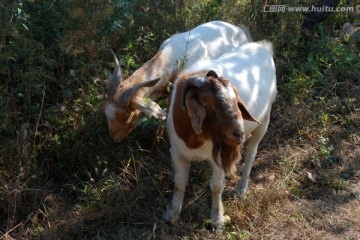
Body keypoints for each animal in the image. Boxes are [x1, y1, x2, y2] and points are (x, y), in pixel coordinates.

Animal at [165, 41, 278, 229]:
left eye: (236, 100)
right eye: (207, 103)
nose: (238, 133)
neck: (195, 139)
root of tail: (263, 47)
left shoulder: (218, 157)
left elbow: (216, 187)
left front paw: (217, 220)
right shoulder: (177, 152)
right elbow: (179, 184)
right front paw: (172, 214)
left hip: (264, 119)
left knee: (251, 153)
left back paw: (241, 190)